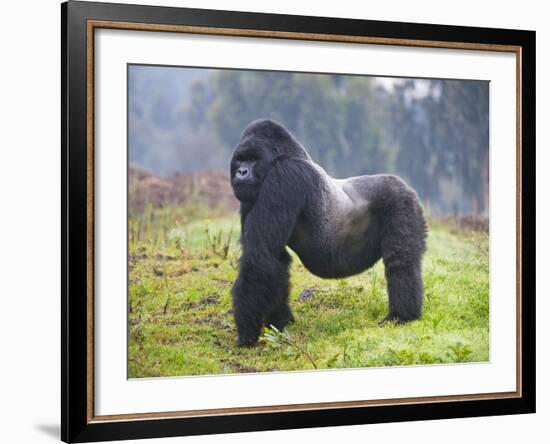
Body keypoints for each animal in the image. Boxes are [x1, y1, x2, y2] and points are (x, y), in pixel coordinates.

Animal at [231, 119, 430, 346]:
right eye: (240, 160)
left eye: (253, 159)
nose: (241, 172)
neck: (285, 156)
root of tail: (404, 184)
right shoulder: (251, 197)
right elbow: (276, 260)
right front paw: (279, 322)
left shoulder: (284, 176)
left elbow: (259, 258)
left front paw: (247, 333)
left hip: (402, 201)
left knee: (401, 261)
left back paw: (402, 316)